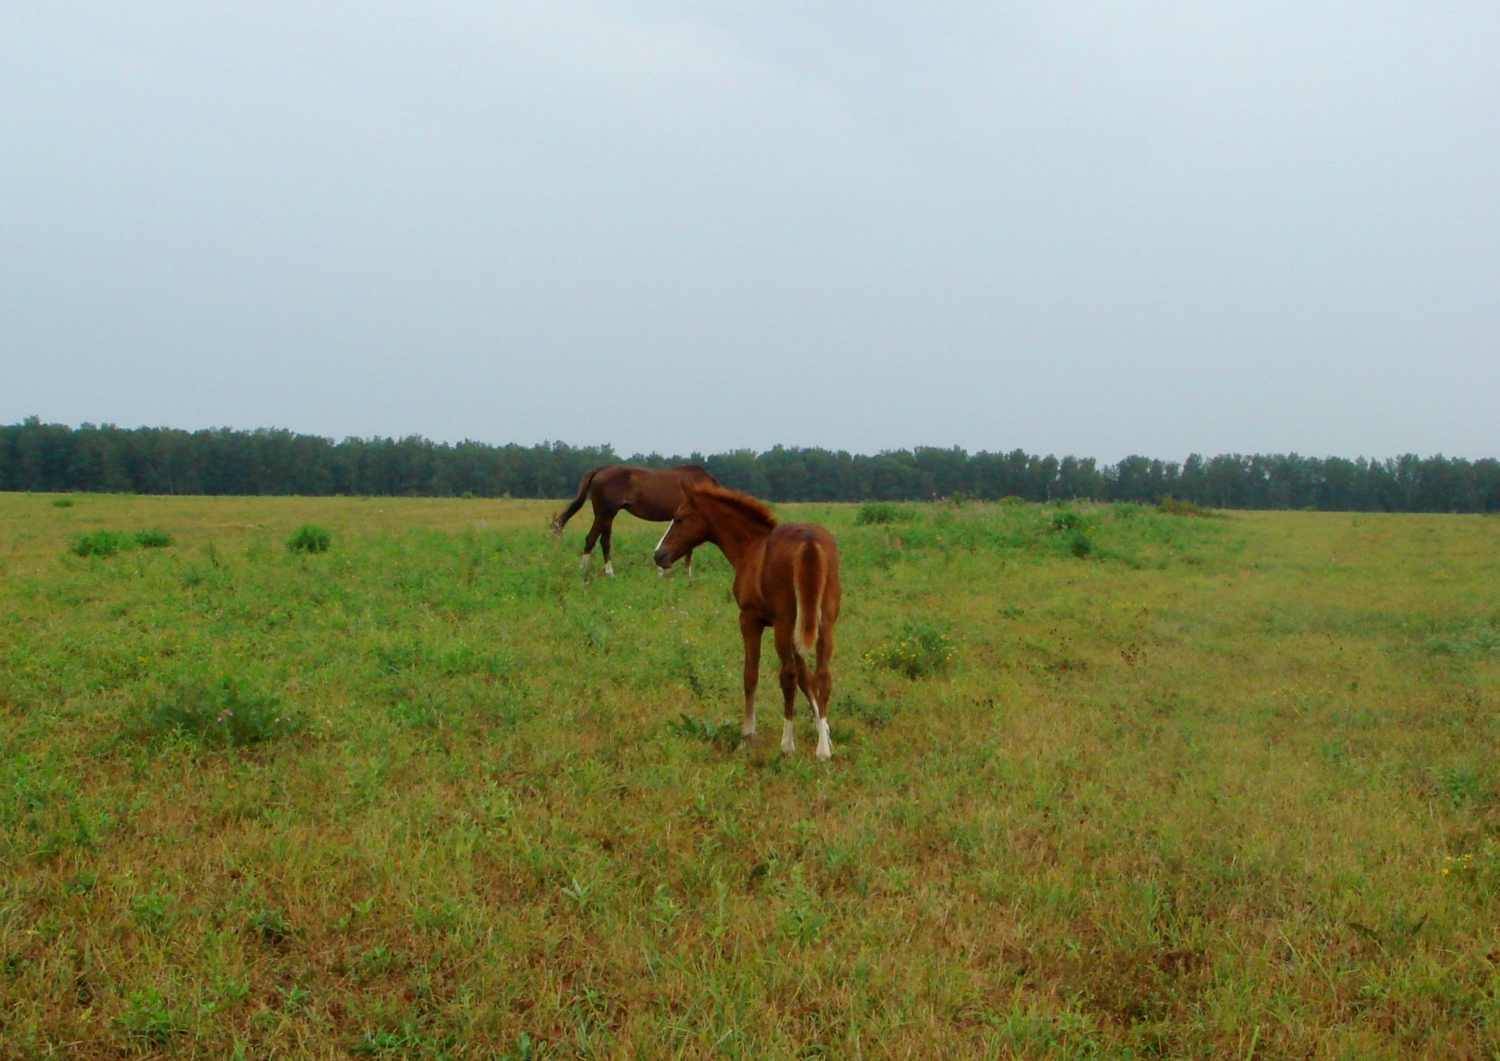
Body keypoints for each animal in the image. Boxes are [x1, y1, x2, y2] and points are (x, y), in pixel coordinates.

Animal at [552, 465, 720, 576]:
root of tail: (600, 470)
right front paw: (686, 574)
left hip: (603, 515)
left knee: (594, 540)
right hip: (606, 514)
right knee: (599, 540)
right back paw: (603, 572)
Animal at [657, 486, 846, 759]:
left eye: (679, 518)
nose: (658, 555)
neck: (749, 546)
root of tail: (809, 540)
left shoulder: (749, 619)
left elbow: (751, 674)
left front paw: (746, 737)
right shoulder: (799, 629)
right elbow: (805, 677)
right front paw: (825, 732)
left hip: (783, 622)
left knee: (787, 676)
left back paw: (787, 745)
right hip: (823, 621)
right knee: (822, 675)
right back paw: (822, 752)